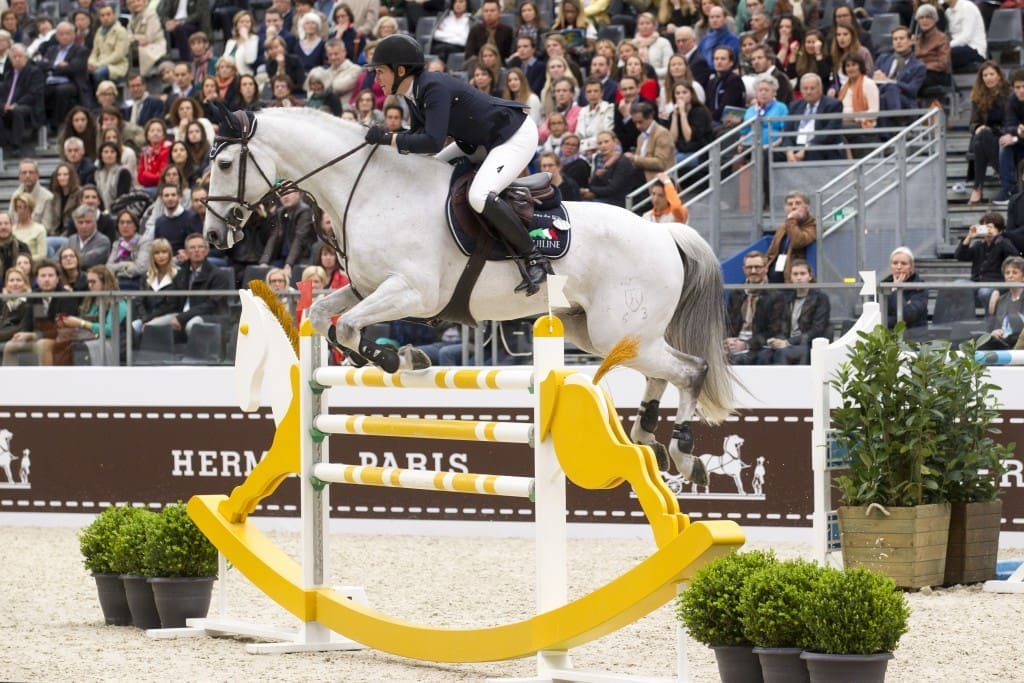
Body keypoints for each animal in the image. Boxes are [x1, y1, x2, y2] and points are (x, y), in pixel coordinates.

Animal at [201, 108, 729, 485]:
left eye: (225, 164)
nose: (212, 236)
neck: (371, 190)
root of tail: (664, 234)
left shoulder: (414, 292)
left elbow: (348, 327)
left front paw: (394, 358)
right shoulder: (368, 286)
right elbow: (327, 315)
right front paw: (394, 357)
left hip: (615, 330)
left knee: (690, 370)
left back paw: (683, 452)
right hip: (603, 333)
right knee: (661, 373)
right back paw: (649, 436)